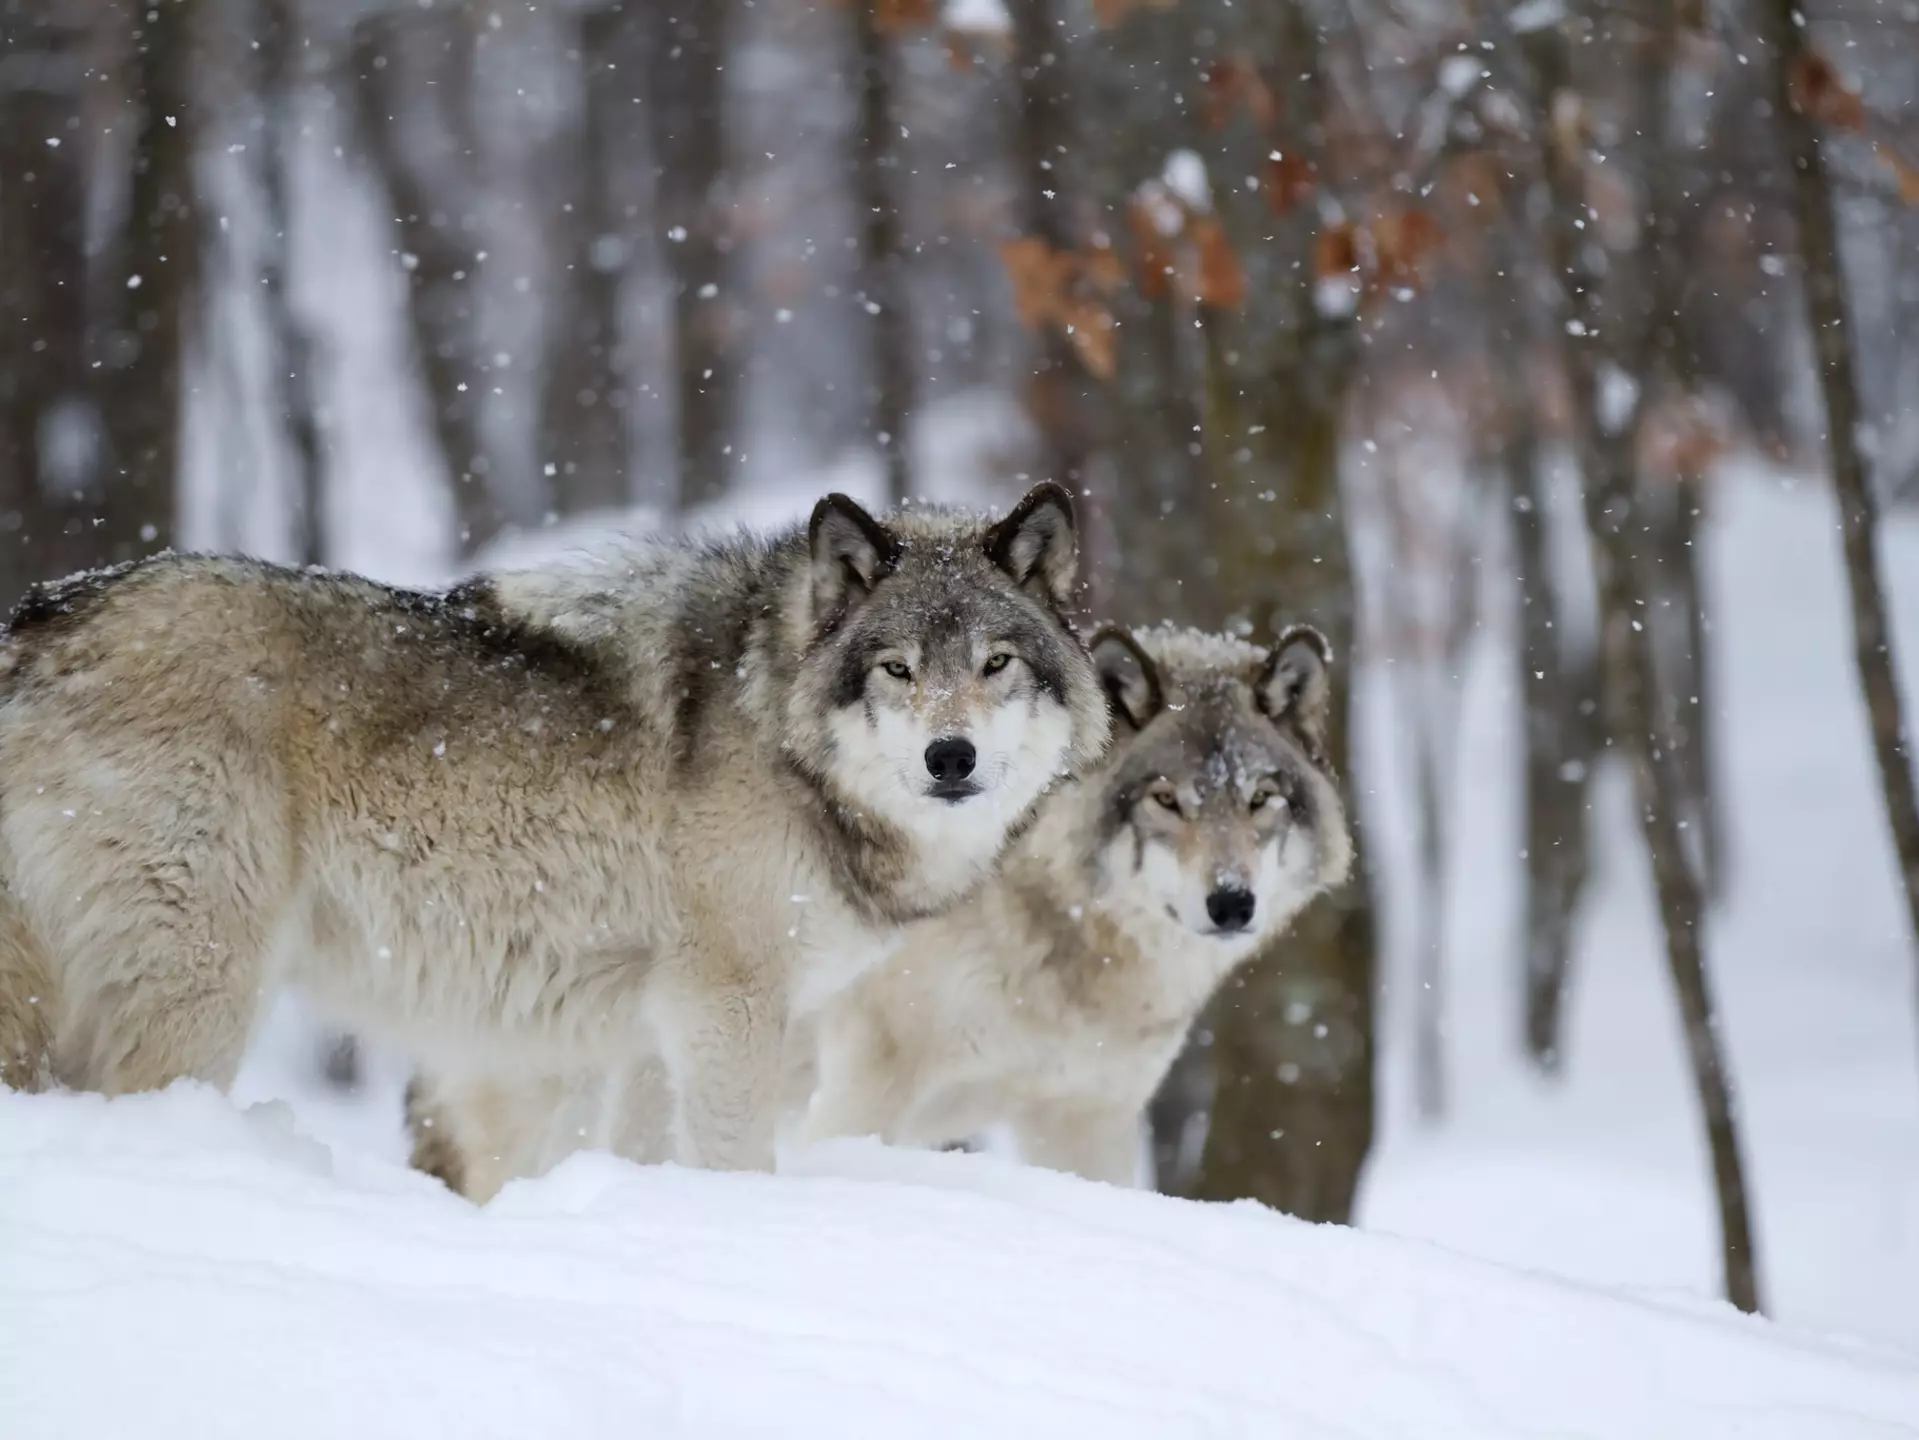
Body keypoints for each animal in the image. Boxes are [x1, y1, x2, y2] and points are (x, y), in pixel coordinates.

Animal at [0, 484, 1111, 1173]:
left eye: (995, 663)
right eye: (896, 670)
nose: (949, 758)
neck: (777, 730)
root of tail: (39, 619)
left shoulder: (650, 1033)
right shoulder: (727, 1009)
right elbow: (738, 1160)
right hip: (201, 996)